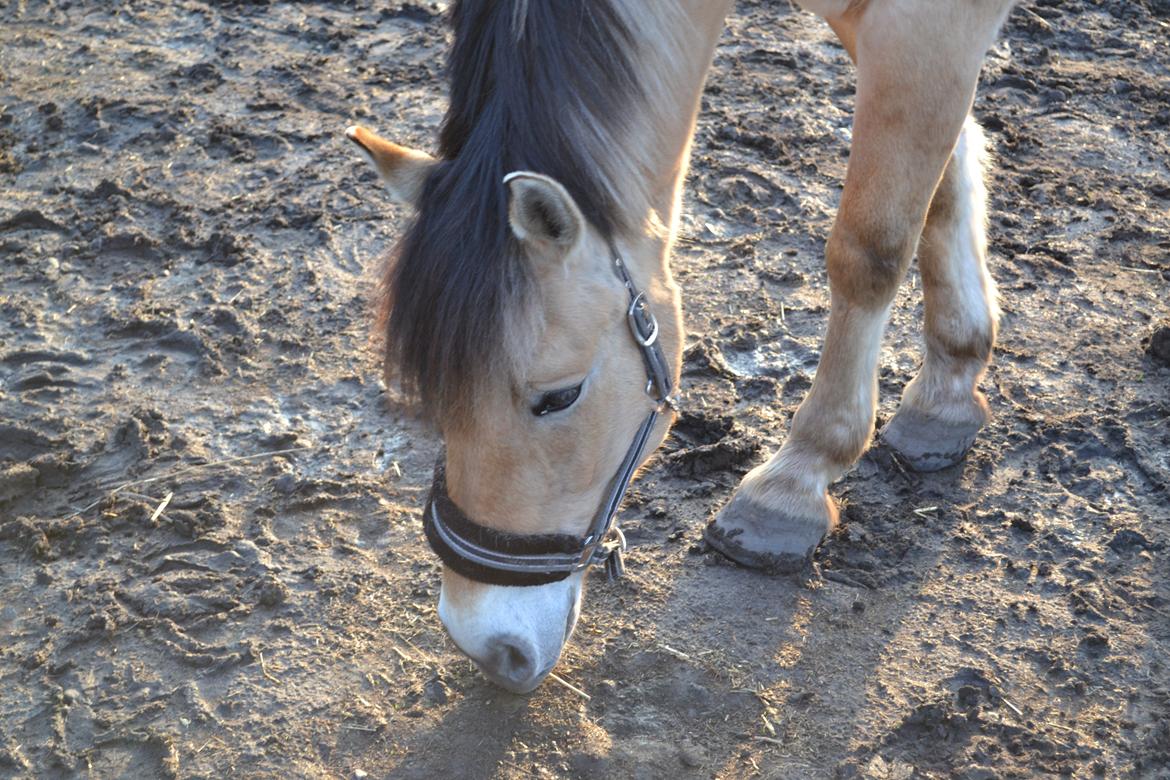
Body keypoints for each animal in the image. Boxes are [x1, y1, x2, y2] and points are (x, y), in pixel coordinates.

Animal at [343, 0, 1015, 696]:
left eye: (558, 398)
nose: (486, 646)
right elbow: (944, 181)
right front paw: (948, 387)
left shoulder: (924, 23)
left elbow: (871, 248)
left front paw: (795, 481)